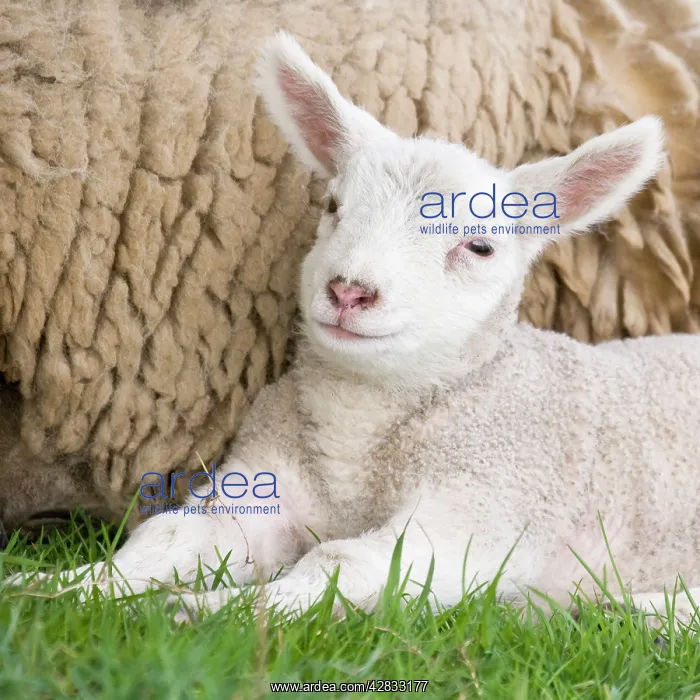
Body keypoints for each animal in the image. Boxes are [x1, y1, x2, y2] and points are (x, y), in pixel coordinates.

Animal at [8, 32, 700, 627]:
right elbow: (170, 536)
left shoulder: (484, 507)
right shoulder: (267, 483)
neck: (360, 427)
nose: (349, 291)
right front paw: (54, 590)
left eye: (479, 246)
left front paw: (207, 612)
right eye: (333, 206)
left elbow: (341, 561)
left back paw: (633, 613)